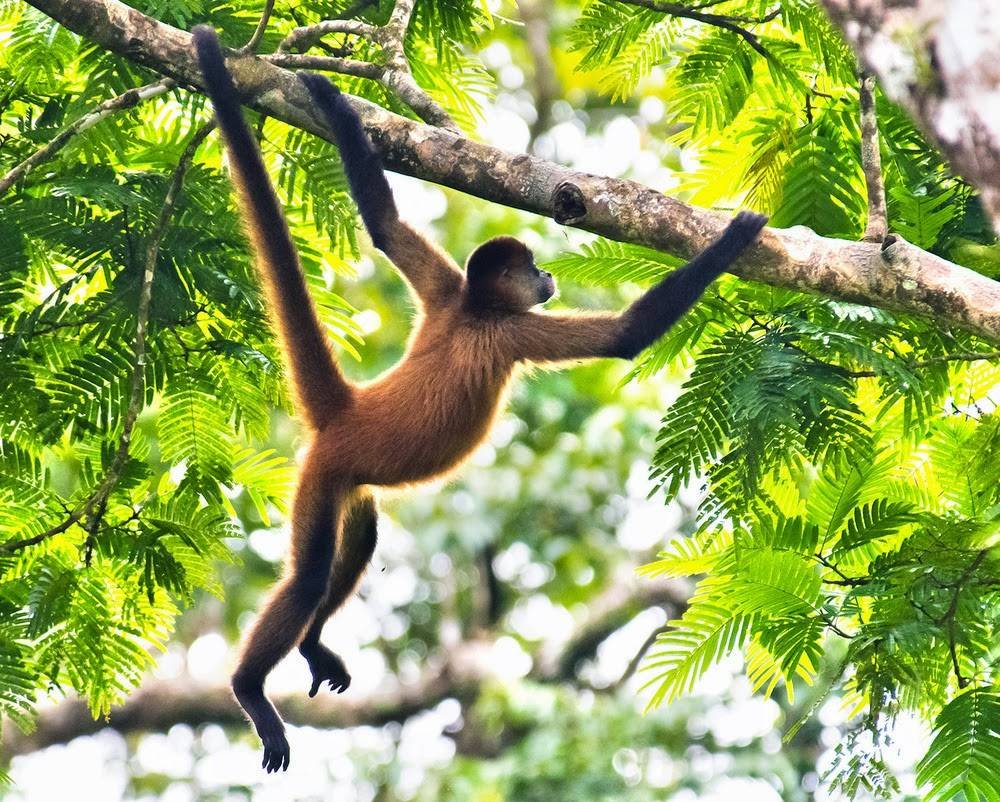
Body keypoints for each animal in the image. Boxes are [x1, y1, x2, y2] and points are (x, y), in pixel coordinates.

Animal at [192, 26, 767, 773]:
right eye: (532, 270)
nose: (548, 275)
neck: (471, 309)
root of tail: (348, 408)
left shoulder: (444, 293)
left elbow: (384, 224)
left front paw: (332, 101)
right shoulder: (508, 330)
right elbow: (624, 337)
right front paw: (734, 239)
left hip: (347, 485)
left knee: (361, 535)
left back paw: (313, 643)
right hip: (321, 476)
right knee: (311, 575)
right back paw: (249, 690)